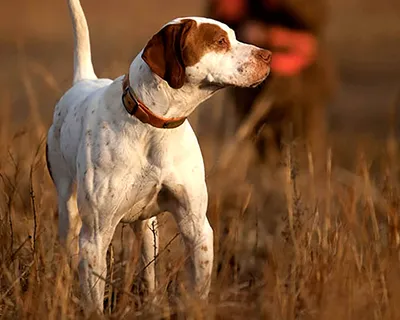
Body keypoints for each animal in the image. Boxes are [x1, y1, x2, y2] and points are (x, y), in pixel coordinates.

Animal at [46, 0, 272, 312]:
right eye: (219, 41)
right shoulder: (95, 236)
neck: (154, 127)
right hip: (69, 214)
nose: (269, 56)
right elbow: (94, 300)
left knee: (148, 269)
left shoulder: (197, 226)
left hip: (147, 229)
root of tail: (84, 80)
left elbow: (198, 287)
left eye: (233, 36)